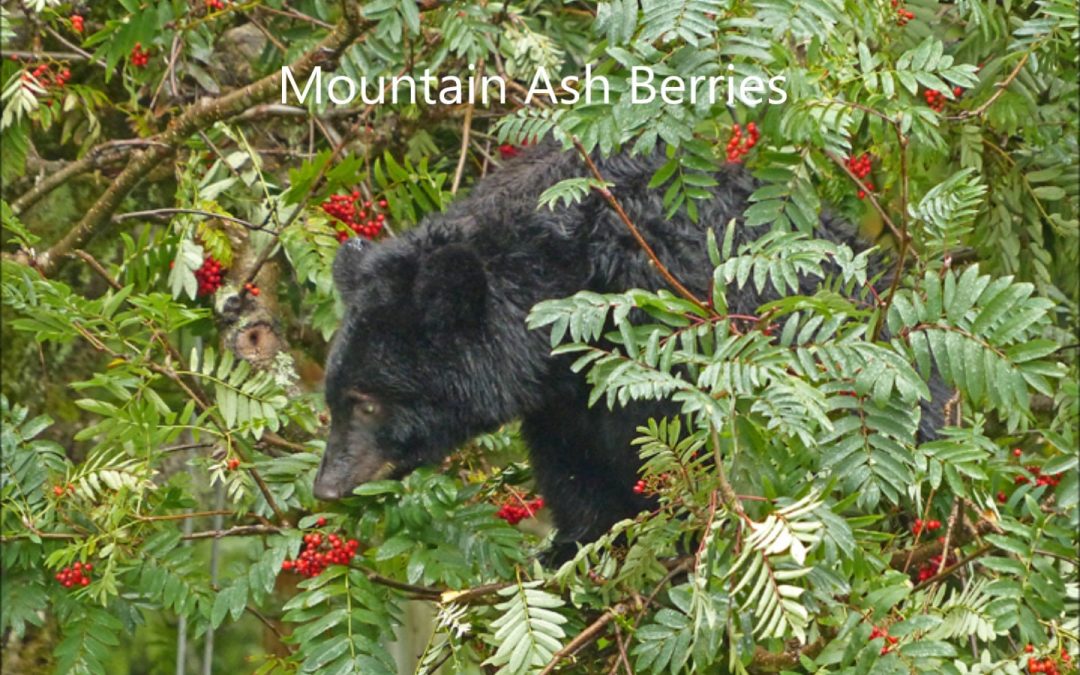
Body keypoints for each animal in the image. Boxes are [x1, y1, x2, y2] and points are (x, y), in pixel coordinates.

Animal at [312, 141, 940, 555]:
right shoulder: (560, 396)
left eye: (367, 401)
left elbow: (672, 444)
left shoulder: (660, 333)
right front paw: (575, 547)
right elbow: (574, 468)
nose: (327, 486)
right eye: (334, 398)